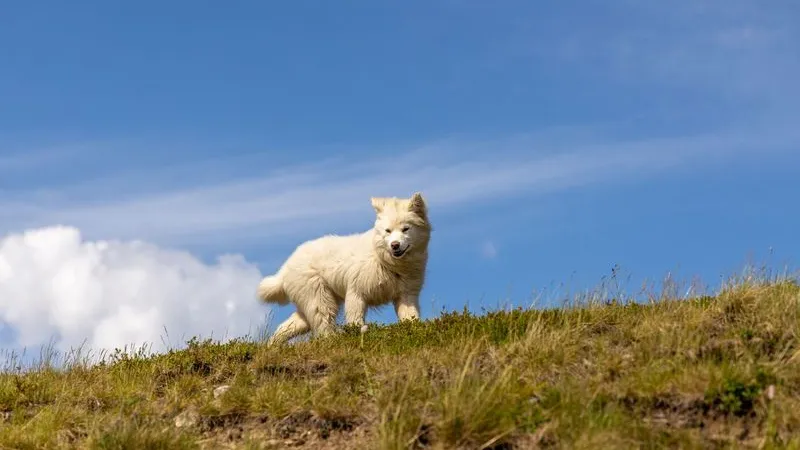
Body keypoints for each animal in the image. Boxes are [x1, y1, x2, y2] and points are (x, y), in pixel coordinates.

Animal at [256, 192, 432, 342]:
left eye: (405, 229)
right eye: (387, 231)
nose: (395, 245)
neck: (385, 260)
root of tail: (285, 267)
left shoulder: (406, 295)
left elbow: (411, 318)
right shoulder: (356, 293)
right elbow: (355, 320)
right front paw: (357, 335)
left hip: (313, 303)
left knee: (286, 328)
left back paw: (273, 345)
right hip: (321, 302)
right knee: (323, 327)